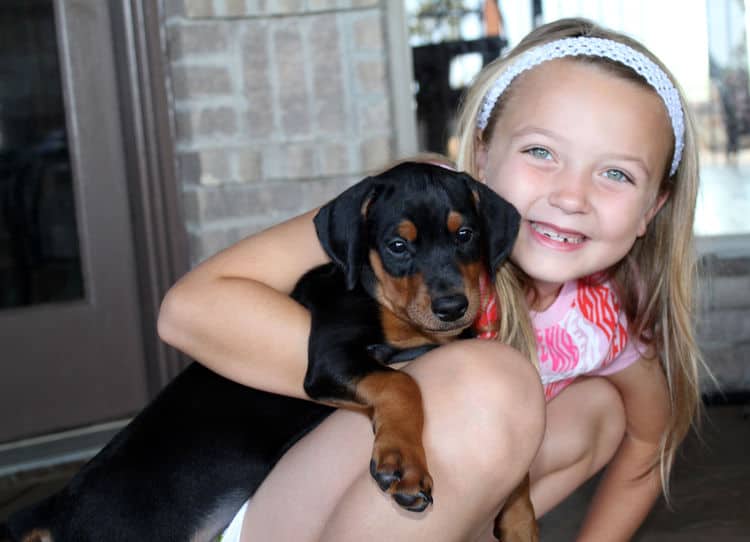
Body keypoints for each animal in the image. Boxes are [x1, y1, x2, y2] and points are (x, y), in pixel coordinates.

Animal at [2, 164, 532, 542]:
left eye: (465, 235)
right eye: (398, 245)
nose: (452, 307)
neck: (383, 302)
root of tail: (62, 504)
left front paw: (519, 516)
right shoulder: (330, 359)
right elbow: (400, 381)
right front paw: (403, 463)